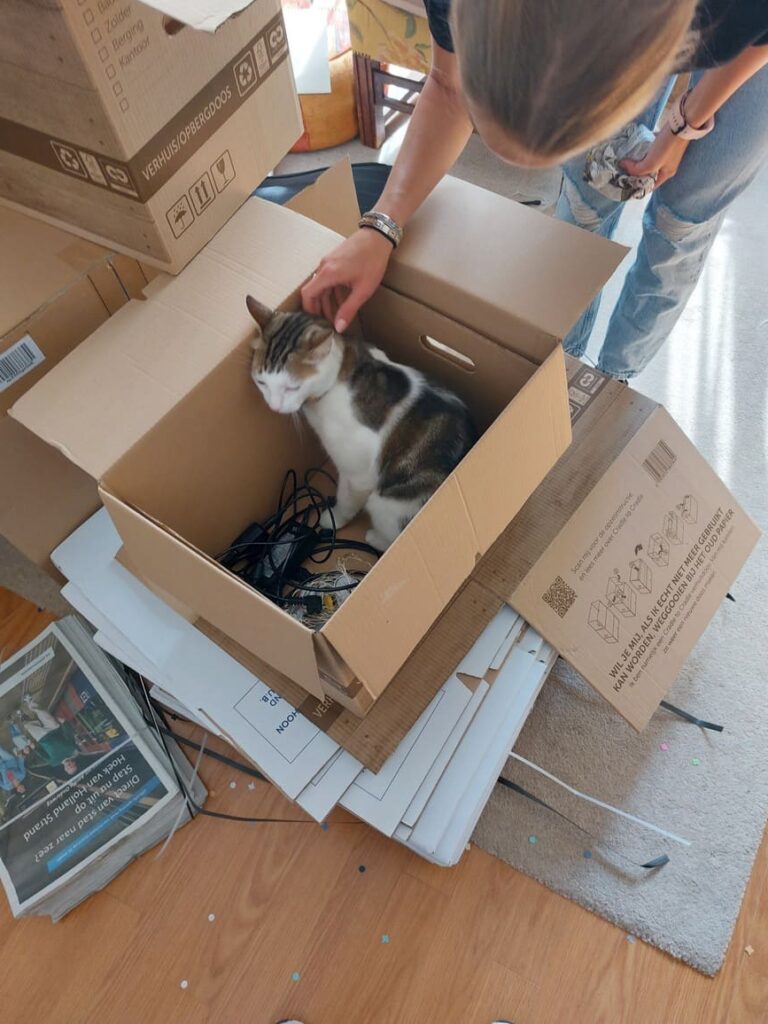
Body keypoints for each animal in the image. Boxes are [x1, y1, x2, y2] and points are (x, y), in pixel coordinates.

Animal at [246, 296, 479, 552]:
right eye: (261, 382)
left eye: (291, 388)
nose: (274, 407)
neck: (341, 371)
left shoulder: (357, 475)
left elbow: (346, 500)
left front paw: (333, 519)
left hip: (385, 503)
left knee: (389, 538)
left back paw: (374, 537)